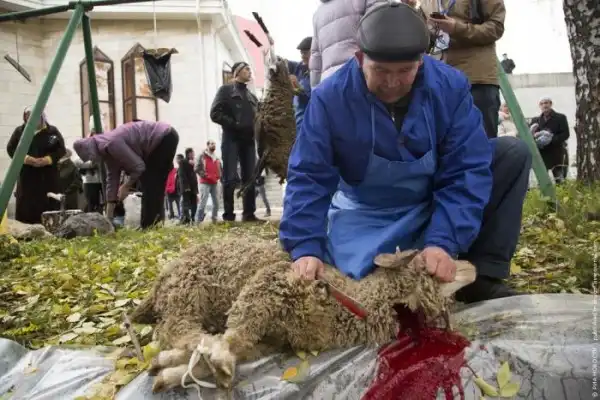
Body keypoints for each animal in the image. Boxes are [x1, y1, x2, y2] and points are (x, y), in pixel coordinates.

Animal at [130, 232, 476, 394]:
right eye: (426, 268)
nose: (470, 268)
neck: (354, 302)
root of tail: (160, 282)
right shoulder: (268, 287)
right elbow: (233, 338)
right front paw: (218, 363)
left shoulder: (272, 340)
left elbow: (240, 349)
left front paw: (170, 372)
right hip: (188, 291)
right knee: (175, 328)